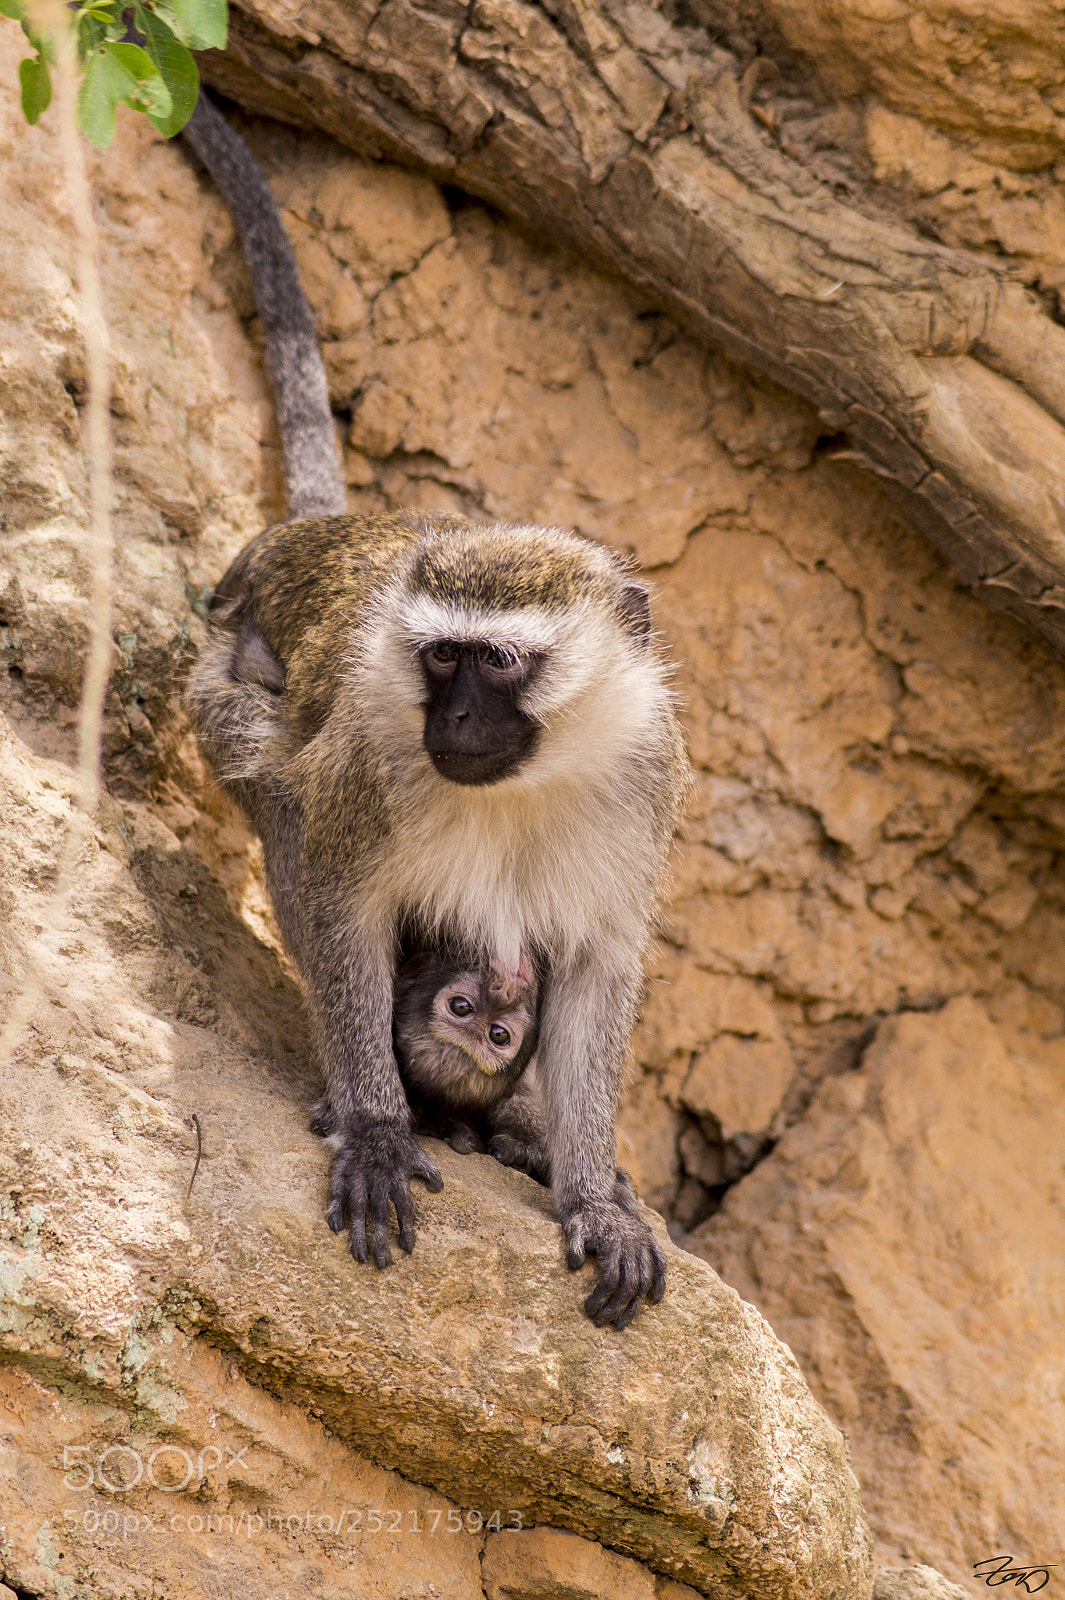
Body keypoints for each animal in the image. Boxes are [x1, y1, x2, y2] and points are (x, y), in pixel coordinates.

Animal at [181, 95, 691, 1330]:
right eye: (439, 657)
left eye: (498, 663)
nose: (451, 725)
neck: (533, 776)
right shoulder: (367, 754)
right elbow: (341, 893)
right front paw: (374, 1121)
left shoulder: (647, 776)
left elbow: (597, 969)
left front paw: (590, 1190)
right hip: (232, 670)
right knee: (280, 790)